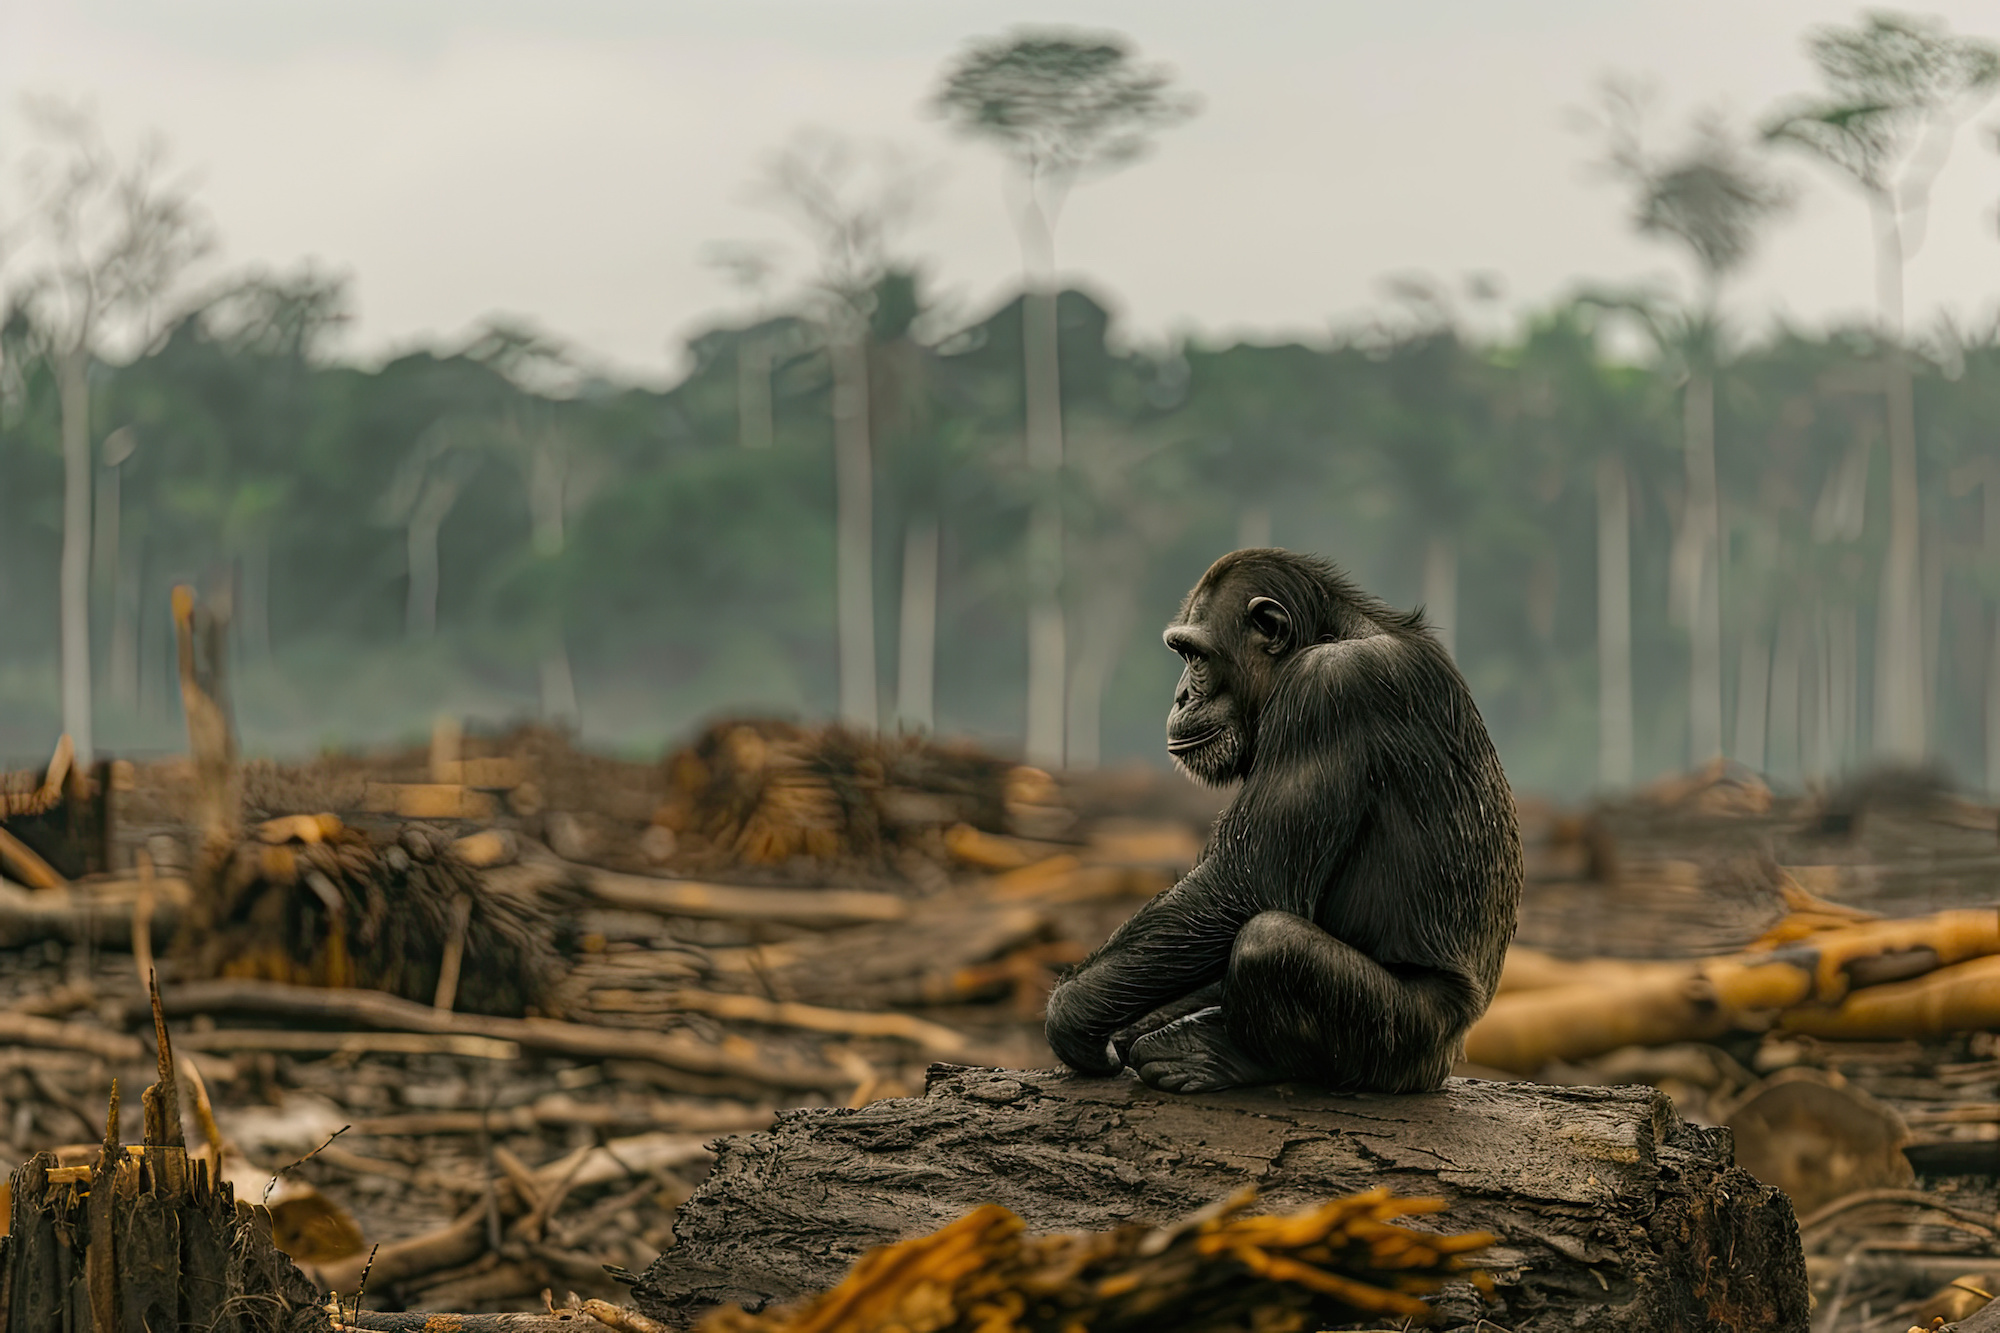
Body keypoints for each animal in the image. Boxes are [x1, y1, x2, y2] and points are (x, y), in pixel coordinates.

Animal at [1048, 544, 1512, 1088]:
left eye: (1195, 657)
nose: (1181, 695)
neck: (1331, 633)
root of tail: (1448, 1057)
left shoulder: (1329, 690)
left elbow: (1248, 877)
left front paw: (1073, 1018)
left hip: (1404, 1045)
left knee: (1268, 942)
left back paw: (1210, 1053)